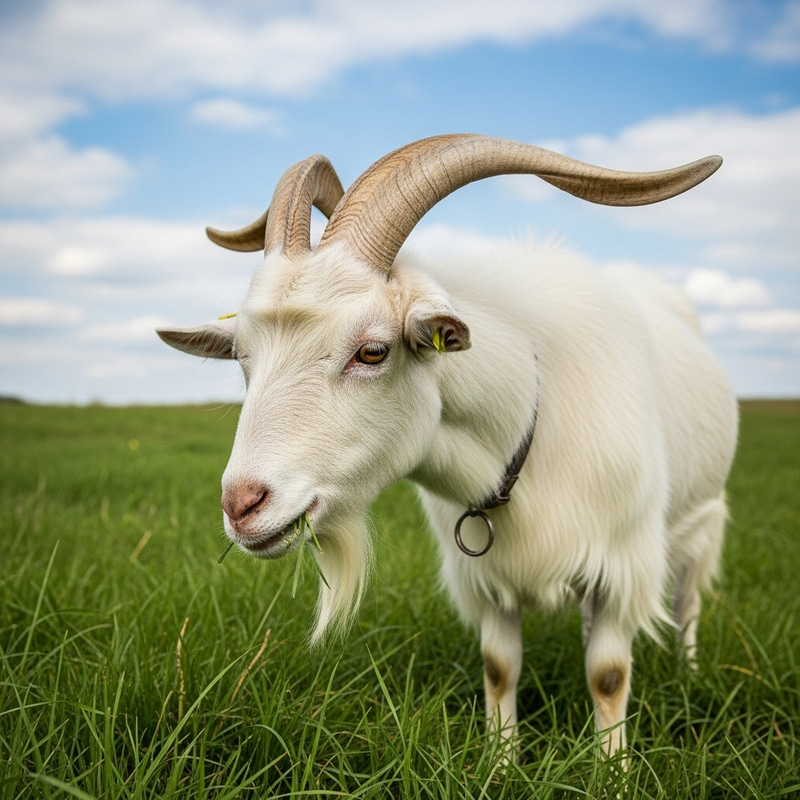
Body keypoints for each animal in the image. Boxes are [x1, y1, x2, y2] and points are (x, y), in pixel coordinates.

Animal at [157, 134, 738, 756]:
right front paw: (501, 762)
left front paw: (612, 768)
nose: (242, 505)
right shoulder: (486, 581)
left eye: (372, 351)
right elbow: (499, 668)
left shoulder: (623, 563)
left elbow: (607, 675)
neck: (529, 417)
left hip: (702, 523)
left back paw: (688, 675)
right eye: (243, 356)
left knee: (688, 603)